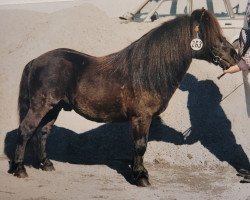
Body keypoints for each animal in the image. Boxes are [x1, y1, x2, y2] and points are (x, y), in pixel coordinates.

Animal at [7, 8, 238, 187]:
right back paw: (19, 169)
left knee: (43, 133)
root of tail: (36, 60)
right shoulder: (141, 118)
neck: (148, 72)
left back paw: (46, 164)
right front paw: (141, 177)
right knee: (26, 130)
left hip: (54, 108)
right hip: (40, 106)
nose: (235, 54)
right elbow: (140, 146)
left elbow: (139, 146)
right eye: (213, 35)